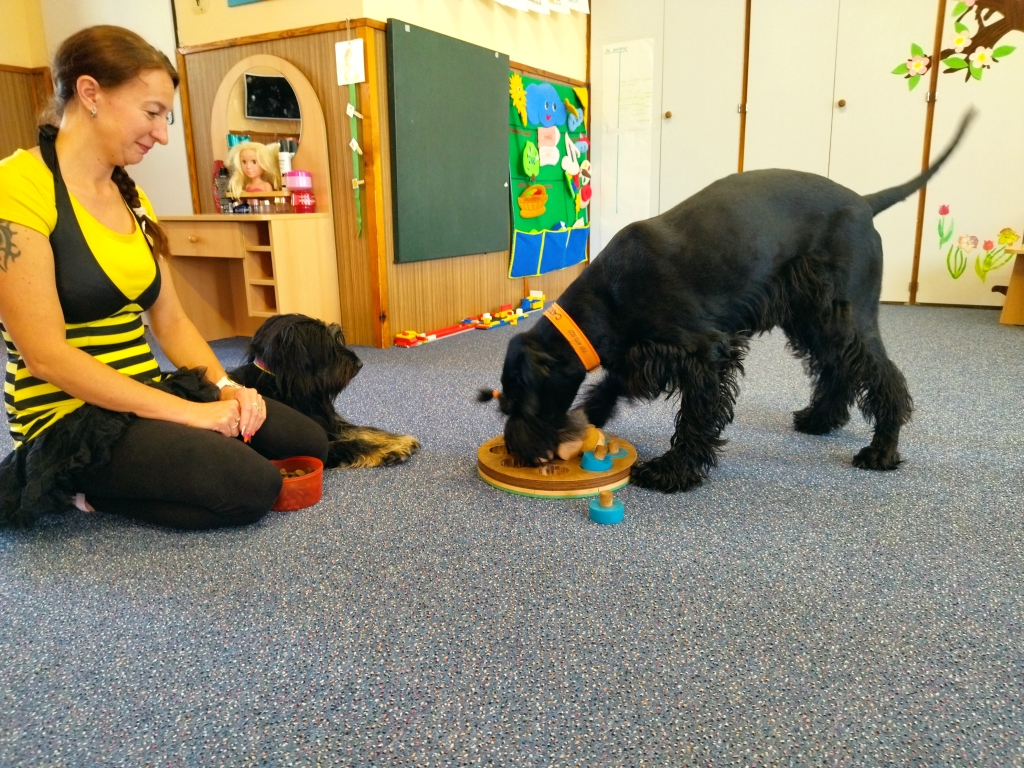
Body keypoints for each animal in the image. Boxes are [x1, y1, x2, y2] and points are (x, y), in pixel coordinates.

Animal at [229, 314, 420, 468]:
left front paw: (399, 440)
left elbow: (363, 430)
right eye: (327, 346)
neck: (284, 384)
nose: (359, 364)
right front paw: (390, 450)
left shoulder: (329, 422)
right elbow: (351, 444)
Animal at [482, 111, 975, 493]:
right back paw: (821, 418)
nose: (516, 452)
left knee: (882, 375)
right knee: (838, 367)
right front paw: (596, 410)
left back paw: (881, 450)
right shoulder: (648, 350)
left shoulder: (704, 353)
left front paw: (673, 471)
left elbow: (696, 415)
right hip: (813, 317)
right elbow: (616, 380)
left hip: (847, 314)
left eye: (520, 402)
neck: (608, 297)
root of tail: (865, 203)